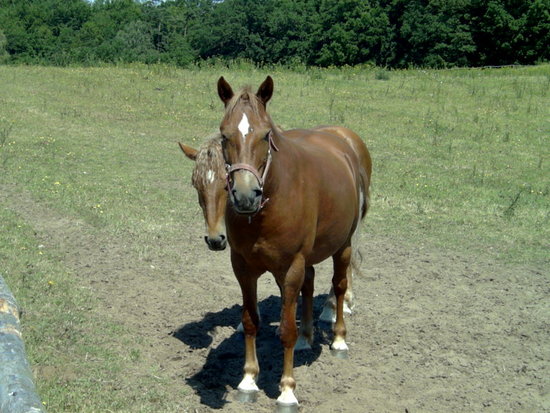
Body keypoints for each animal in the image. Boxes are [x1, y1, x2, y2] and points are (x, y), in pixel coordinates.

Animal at [211, 76, 370, 408]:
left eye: (265, 134)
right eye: (224, 134)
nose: (245, 196)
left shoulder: (291, 266)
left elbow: (286, 329)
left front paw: (286, 390)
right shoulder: (243, 268)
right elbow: (250, 321)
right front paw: (248, 380)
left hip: (343, 246)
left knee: (339, 285)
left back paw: (339, 339)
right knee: (308, 287)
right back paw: (307, 339)